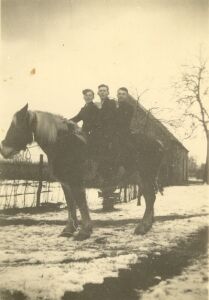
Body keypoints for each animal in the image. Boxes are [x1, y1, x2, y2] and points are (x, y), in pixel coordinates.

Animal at [0, 104, 164, 240]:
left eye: (17, 126)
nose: (4, 150)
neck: (64, 145)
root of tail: (158, 143)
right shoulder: (66, 184)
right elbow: (71, 205)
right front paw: (68, 230)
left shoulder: (76, 183)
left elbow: (81, 205)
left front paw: (84, 231)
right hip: (142, 179)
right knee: (150, 198)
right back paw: (147, 226)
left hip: (145, 177)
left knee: (150, 199)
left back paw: (142, 227)